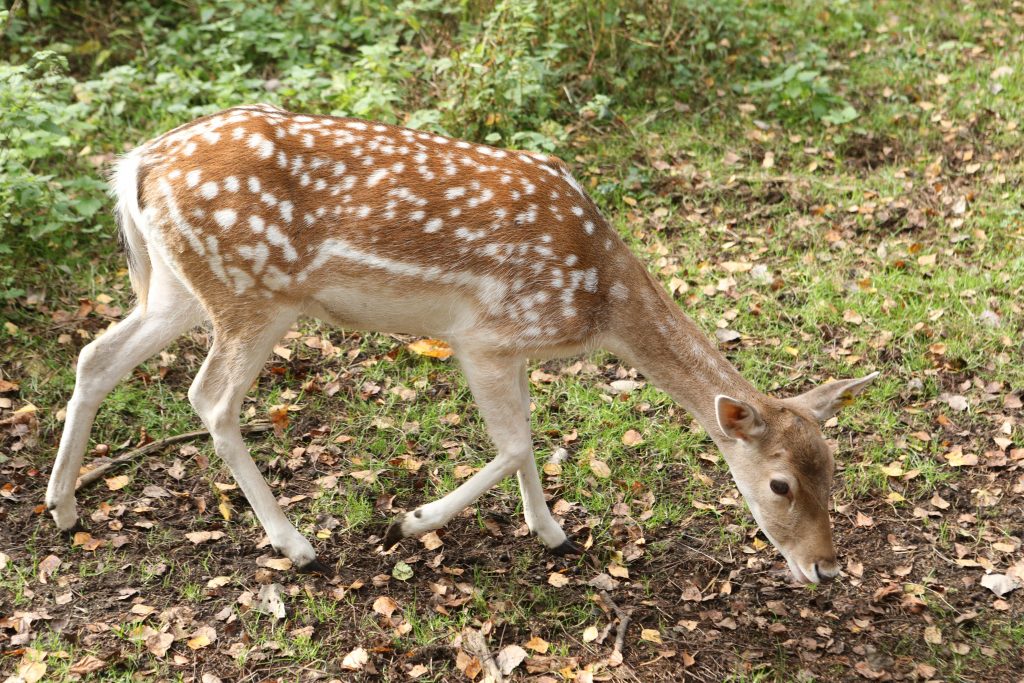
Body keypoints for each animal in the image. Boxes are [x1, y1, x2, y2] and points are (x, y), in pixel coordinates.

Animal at [46, 104, 880, 585]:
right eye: (780, 483)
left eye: (834, 469)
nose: (828, 568)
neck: (598, 299)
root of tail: (139, 164)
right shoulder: (484, 334)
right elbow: (513, 445)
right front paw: (413, 521)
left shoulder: (509, 349)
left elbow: (529, 438)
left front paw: (552, 532)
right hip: (253, 294)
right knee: (209, 398)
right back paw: (296, 542)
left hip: (179, 286)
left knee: (97, 356)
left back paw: (63, 506)